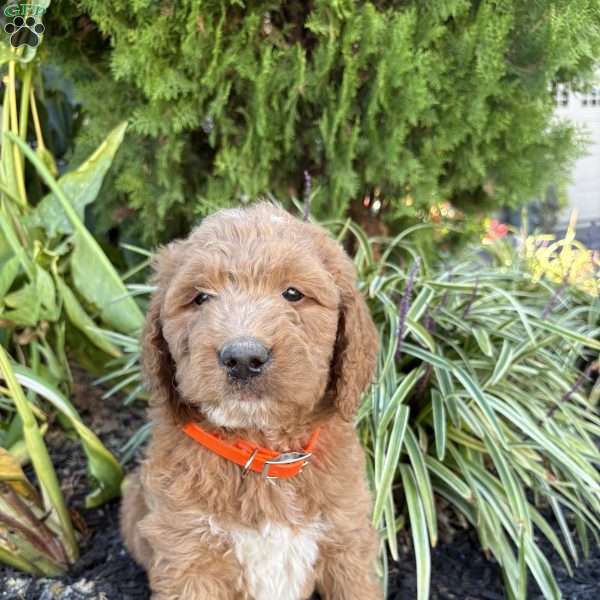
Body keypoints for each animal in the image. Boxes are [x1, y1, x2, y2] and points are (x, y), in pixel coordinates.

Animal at [121, 203, 382, 600]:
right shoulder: (188, 557)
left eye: (293, 293)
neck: (263, 455)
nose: (243, 357)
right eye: (200, 298)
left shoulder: (348, 542)